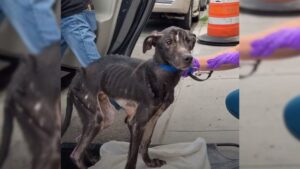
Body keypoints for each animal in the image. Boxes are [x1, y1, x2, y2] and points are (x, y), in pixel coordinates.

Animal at [61, 26, 197, 169]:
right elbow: (132, 158)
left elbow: (146, 143)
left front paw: (149, 162)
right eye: (168, 42)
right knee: (75, 154)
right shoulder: (136, 123)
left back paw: (92, 159)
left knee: (78, 140)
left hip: (106, 117)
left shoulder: (152, 119)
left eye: (189, 41)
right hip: (95, 118)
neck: (161, 75)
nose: (188, 58)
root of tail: (76, 77)